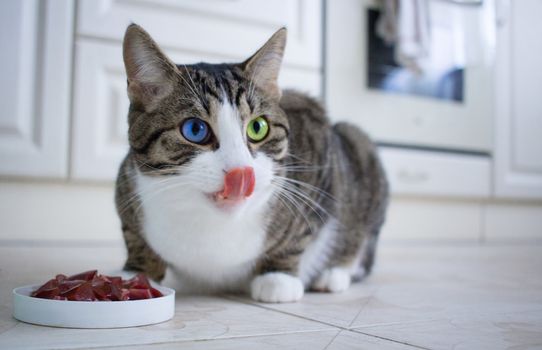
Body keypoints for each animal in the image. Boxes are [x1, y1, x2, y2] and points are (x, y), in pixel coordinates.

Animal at [118, 23, 392, 304]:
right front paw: (136, 276)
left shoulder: (319, 151)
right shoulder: (126, 185)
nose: (240, 172)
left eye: (258, 127)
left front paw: (278, 278)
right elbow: (135, 238)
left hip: (359, 146)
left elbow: (299, 234)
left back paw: (332, 275)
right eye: (195, 129)